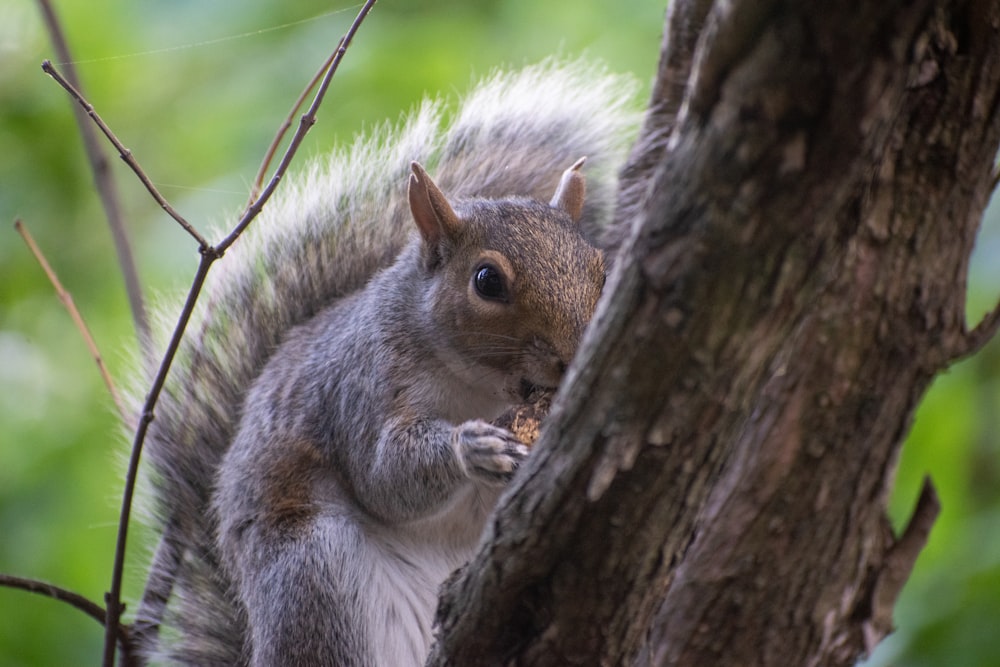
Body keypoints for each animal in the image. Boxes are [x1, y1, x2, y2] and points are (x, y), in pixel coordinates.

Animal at [133, 60, 636, 664]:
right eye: (487, 281)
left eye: (600, 270)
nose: (576, 352)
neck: (480, 385)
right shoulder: (363, 386)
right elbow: (383, 476)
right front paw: (471, 446)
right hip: (313, 574)